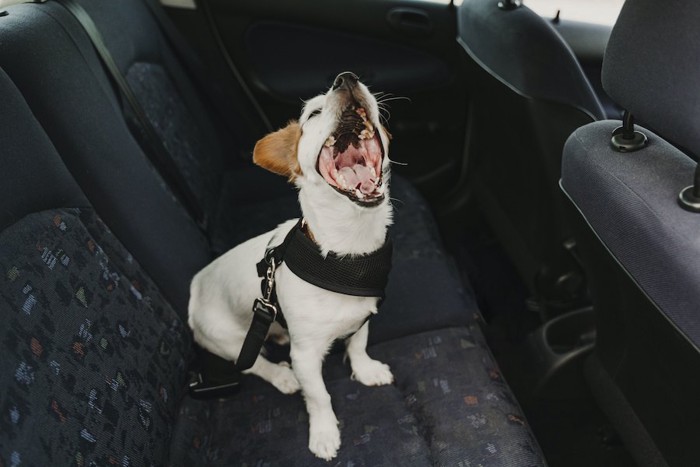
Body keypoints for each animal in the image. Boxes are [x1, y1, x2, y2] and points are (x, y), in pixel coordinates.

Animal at [186, 73, 394, 460]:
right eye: (312, 113)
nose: (346, 79)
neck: (347, 255)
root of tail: (194, 289)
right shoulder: (306, 355)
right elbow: (319, 396)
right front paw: (324, 433)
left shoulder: (362, 317)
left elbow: (357, 345)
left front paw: (365, 370)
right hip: (227, 340)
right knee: (254, 363)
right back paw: (282, 377)